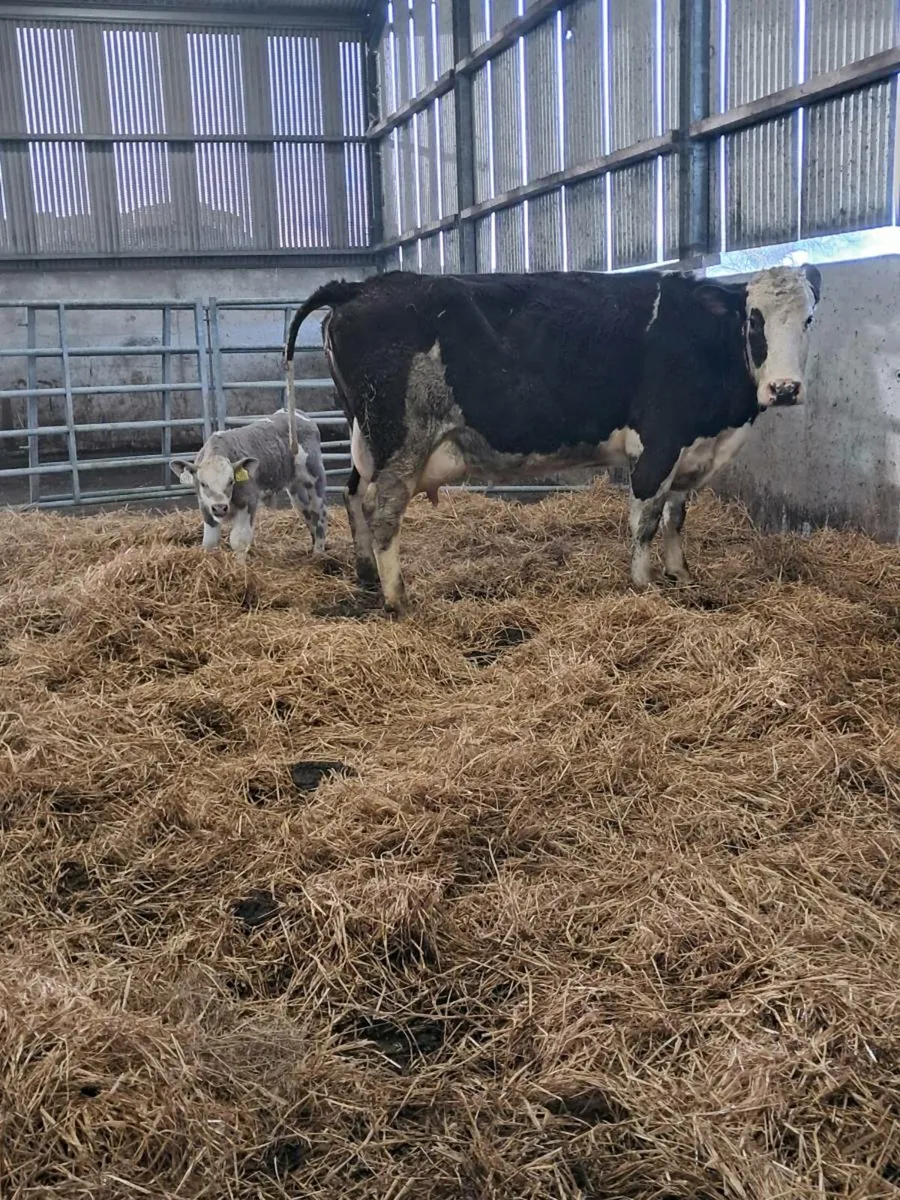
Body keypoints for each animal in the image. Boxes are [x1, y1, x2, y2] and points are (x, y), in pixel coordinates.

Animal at [170, 408, 328, 561]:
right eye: (203, 484)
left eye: (231, 481)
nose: (220, 508)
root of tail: (301, 416)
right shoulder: (205, 506)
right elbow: (210, 541)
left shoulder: (248, 502)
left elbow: (239, 540)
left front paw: (240, 568)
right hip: (295, 488)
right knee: (306, 513)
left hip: (315, 478)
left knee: (319, 514)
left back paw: (318, 554)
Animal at [283, 265, 821, 613]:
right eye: (754, 319)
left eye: (809, 319)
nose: (785, 388)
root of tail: (358, 287)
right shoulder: (658, 443)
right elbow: (645, 520)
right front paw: (643, 585)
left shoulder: (690, 450)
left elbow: (676, 516)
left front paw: (680, 574)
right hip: (401, 442)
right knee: (383, 513)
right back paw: (398, 598)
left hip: (368, 440)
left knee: (353, 496)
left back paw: (366, 576)